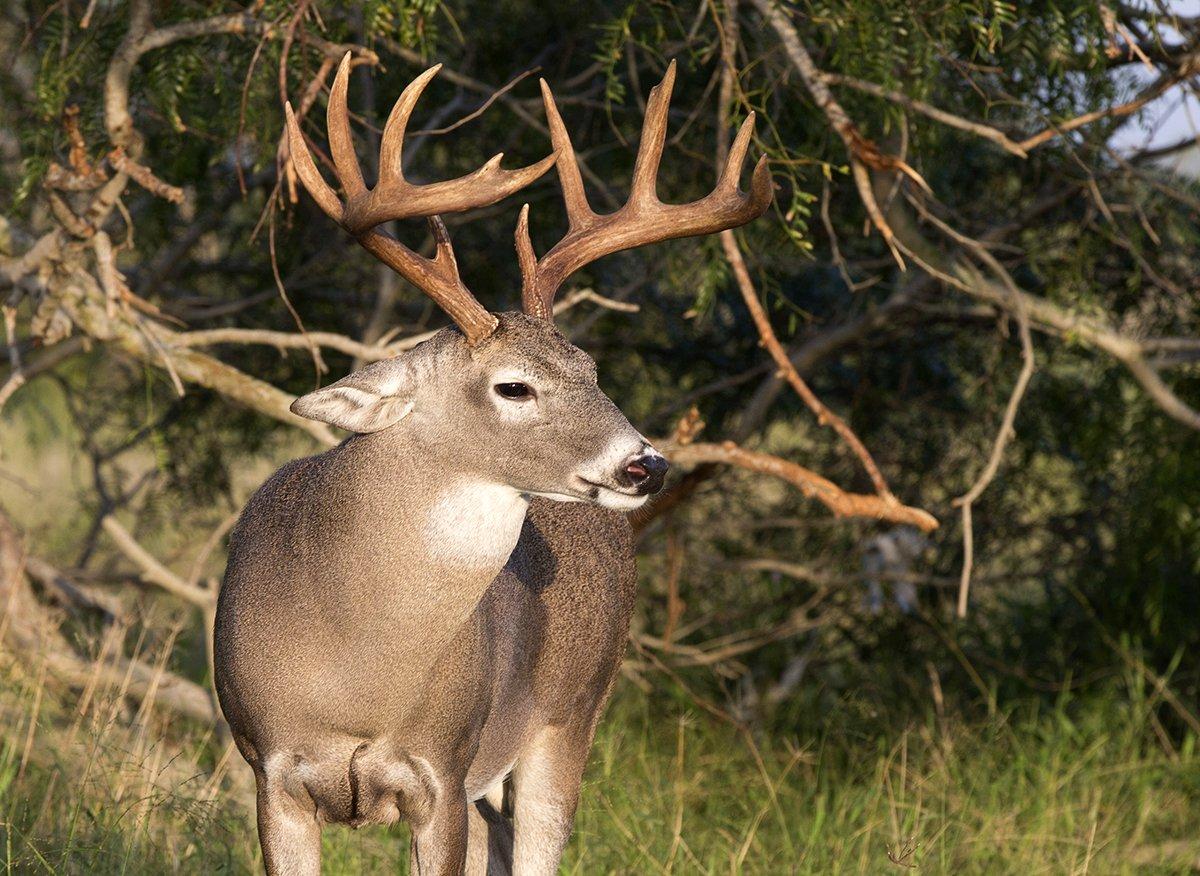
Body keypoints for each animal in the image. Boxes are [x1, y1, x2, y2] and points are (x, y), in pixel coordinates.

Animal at [216, 56, 772, 873]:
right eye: (514, 385)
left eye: (592, 369)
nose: (647, 465)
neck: (356, 678)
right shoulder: (272, 771)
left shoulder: (443, 770)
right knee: (498, 842)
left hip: (571, 717)